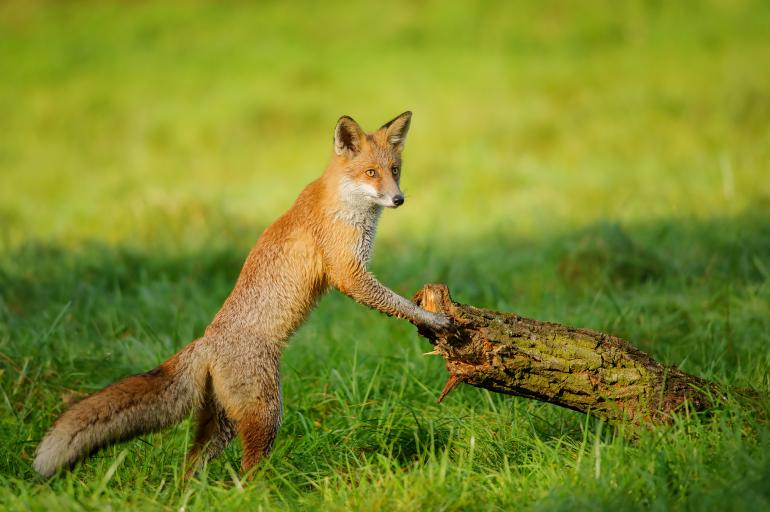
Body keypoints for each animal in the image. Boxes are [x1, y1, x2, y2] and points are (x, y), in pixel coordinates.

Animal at [33, 110, 450, 478]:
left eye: (395, 171)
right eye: (370, 173)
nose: (398, 199)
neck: (341, 201)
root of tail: (206, 341)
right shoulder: (349, 273)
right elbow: (395, 303)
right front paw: (435, 319)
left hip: (222, 423)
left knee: (190, 466)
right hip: (267, 414)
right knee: (248, 471)